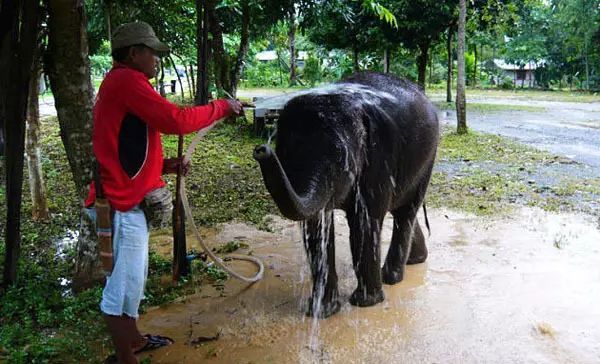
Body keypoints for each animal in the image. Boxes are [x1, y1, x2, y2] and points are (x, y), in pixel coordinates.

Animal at [253, 72, 440, 318]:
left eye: (339, 156)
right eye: (284, 153)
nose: (260, 150)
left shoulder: (379, 158)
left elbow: (363, 222)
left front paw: (365, 303)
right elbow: (317, 225)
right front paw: (320, 311)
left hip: (428, 158)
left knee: (405, 212)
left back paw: (391, 278)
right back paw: (415, 261)